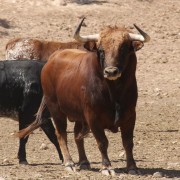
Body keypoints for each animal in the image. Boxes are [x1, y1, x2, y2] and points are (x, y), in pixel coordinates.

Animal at [16, 18, 150, 176]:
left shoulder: (130, 115)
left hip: (78, 115)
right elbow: (102, 142)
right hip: (56, 110)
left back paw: (84, 162)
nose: (111, 71)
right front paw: (107, 167)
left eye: (123, 48)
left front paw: (132, 167)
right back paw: (69, 163)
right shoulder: (93, 117)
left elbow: (128, 142)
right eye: (101, 50)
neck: (113, 93)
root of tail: (51, 61)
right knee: (61, 134)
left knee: (77, 136)